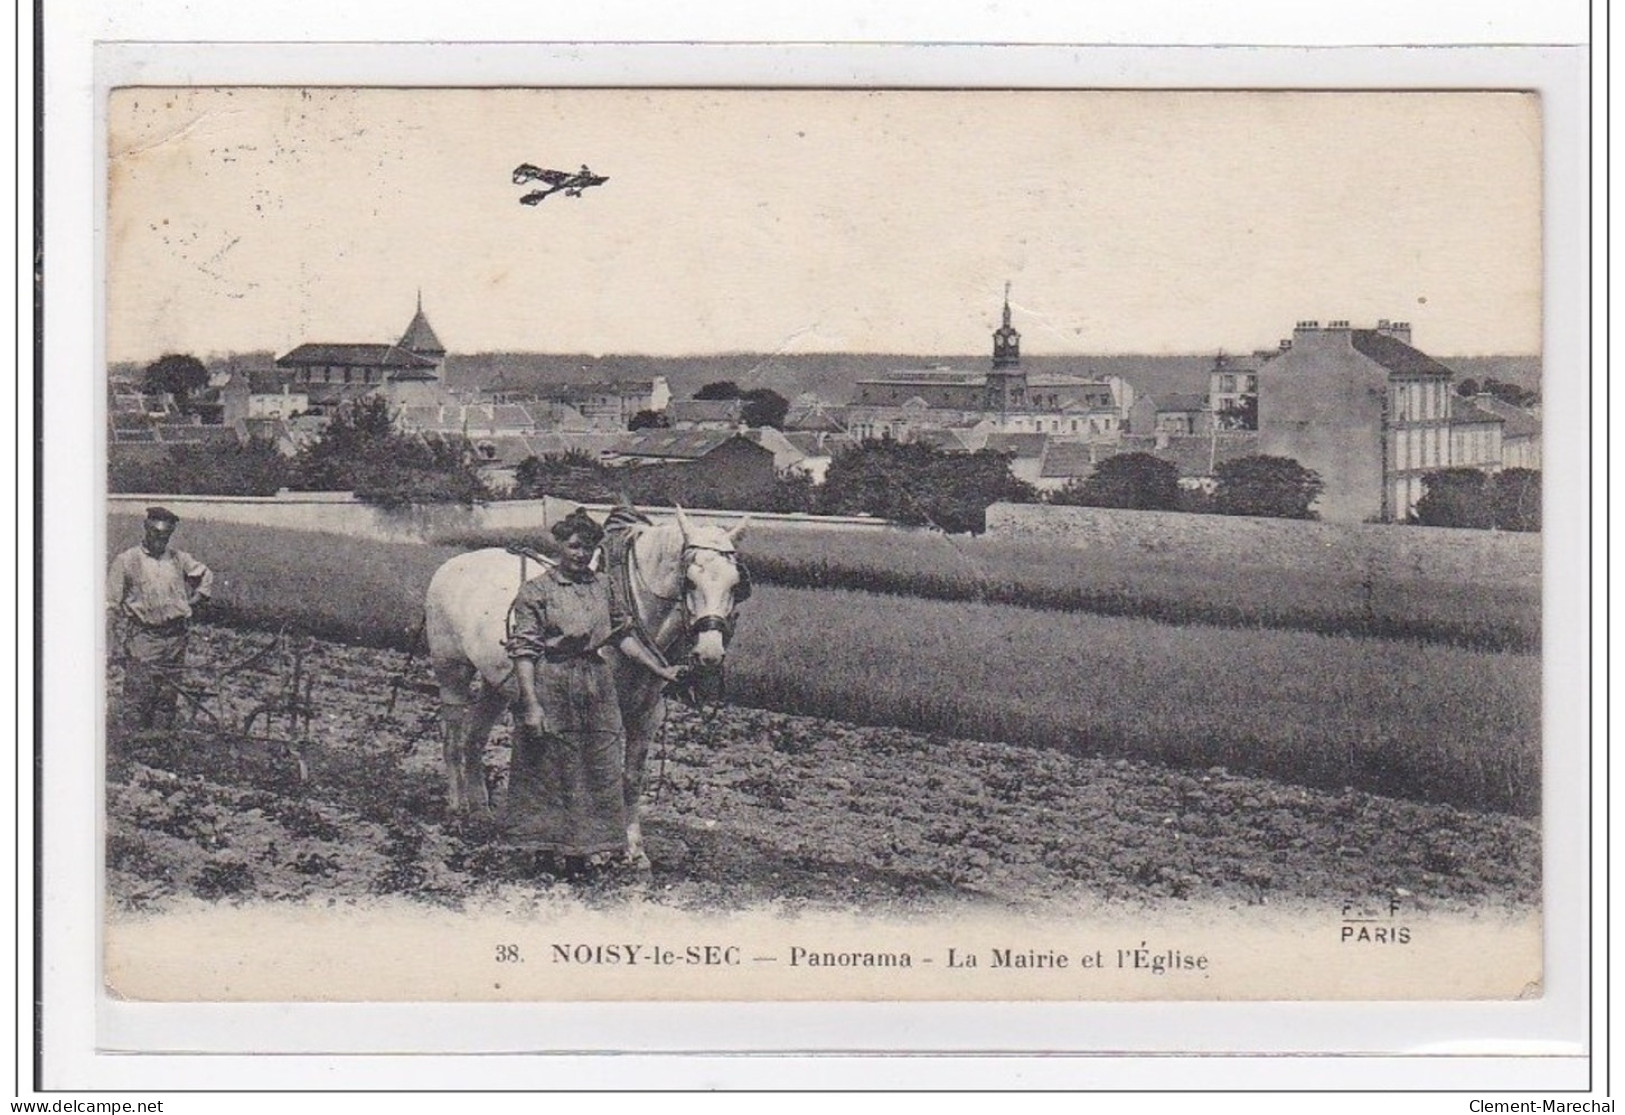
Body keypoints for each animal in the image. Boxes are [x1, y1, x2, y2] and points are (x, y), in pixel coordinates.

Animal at [419, 507, 747, 864]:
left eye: (736, 584)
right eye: (689, 580)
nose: (710, 655)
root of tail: (452, 564)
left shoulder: (647, 716)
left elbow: (631, 778)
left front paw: (634, 849)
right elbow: (596, 773)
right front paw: (598, 849)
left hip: (497, 684)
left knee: (474, 737)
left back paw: (482, 811)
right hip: (451, 671)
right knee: (452, 738)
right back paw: (457, 807)